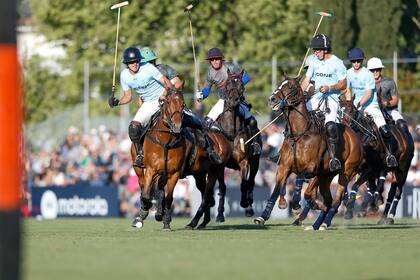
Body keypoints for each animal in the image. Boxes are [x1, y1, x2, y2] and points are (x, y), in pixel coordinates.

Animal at [254, 76, 362, 230]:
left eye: (291, 87)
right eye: (281, 84)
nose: (272, 99)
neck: (299, 133)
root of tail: (354, 135)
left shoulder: (313, 169)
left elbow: (303, 186)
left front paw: (298, 204)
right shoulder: (284, 167)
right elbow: (276, 189)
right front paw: (264, 215)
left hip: (346, 172)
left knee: (336, 200)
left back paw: (323, 222)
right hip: (327, 176)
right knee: (329, 200)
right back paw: (316, 224)